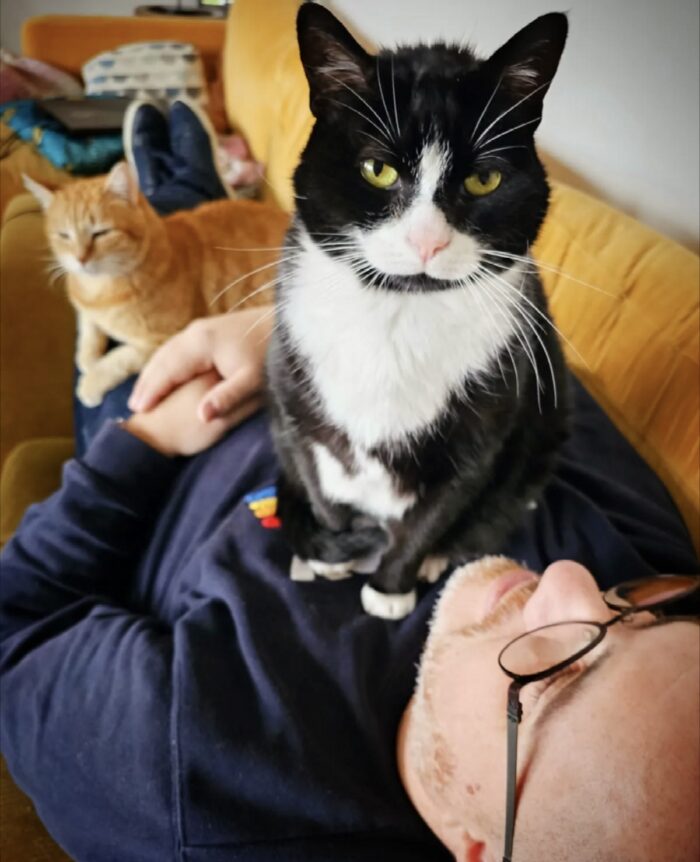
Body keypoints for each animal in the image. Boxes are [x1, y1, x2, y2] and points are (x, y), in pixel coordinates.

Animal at [25, 163, 289, 406]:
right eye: (63, 235)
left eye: (101, 233)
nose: (80, 259)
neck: (99, 290)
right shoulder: (85, 307)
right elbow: (87, 327)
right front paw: (87, 357)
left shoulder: (163, 339)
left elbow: (119, 358)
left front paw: (91, 382)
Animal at [266, 5, 570, 619]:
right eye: (377, 170)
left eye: (484, 178)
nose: (427, 241)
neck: (397, 315)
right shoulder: (297, 409)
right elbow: (323, 489)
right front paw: (333, 553)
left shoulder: (480, 439)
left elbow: (430, 520)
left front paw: (390, 589)